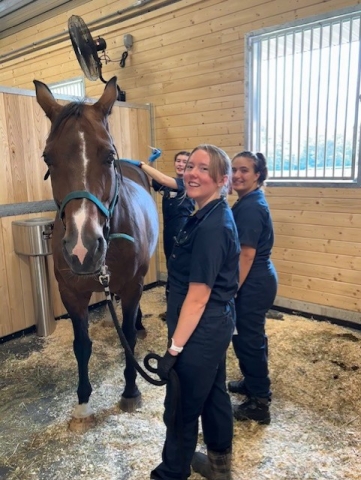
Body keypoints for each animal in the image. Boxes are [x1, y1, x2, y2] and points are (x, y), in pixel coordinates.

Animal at [34, 76, 158, 432]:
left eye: (108, 155)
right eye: (48, 158)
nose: (82, 248)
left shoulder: (132, 286)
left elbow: (127, 336)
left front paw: (130, 391)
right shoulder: (71, 293)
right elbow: (82, 345)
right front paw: (83, 402)